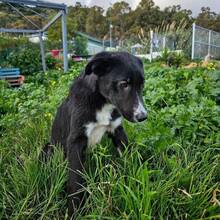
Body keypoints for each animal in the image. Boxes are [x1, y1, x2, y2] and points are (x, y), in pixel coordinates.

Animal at [50, 51, 146, 217]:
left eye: (142, 85)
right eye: (124, 84)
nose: (143, 117)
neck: (102, 101)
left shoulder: (117, 130)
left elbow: (129, 157)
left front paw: (136, 181)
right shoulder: (76, 141)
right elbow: (75, 181)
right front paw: (75, 211)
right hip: (49, 149)